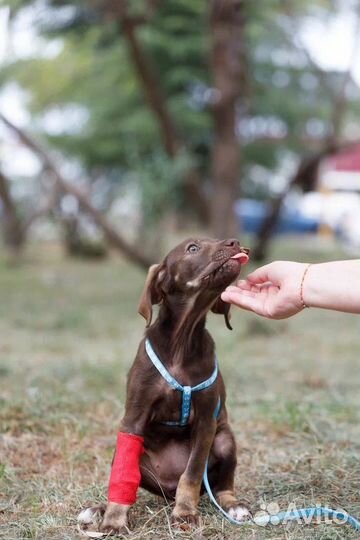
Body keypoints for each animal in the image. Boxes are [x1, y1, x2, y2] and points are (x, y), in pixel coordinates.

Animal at [80, 238, 252, 532]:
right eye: (192, 248)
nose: (235, 242)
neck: (181, 343)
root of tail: (167, 490)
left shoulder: (206, 422)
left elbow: (191, 474)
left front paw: (184, 513)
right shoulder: (133, 419)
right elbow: (121, 478)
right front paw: (113, 518)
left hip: (224, 439)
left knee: (221, 487)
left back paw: (234, 506)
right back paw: (98, 509)